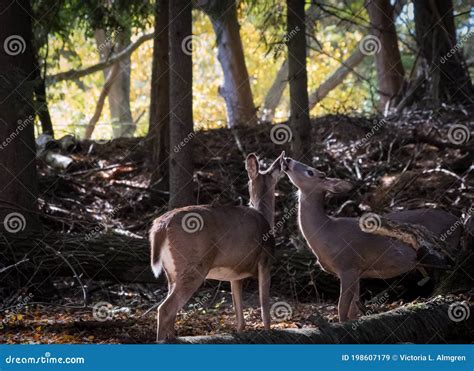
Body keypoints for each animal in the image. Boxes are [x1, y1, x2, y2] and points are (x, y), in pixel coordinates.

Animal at [149, 153, 282, 342]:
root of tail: (160, 225)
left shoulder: (235, 274)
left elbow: (240, 318)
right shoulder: (265, 261)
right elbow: (265, 309)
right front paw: (268, 333)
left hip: (171, 272)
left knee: (170, 309)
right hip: (193, 265)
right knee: (165, 309)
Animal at [282, 154, 462, 322]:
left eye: (310, 172)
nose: (287, 159)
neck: (325, 232)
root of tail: (459, 222)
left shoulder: (348, 266)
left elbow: (342, 307)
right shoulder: (357, 270)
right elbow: (353, 308)